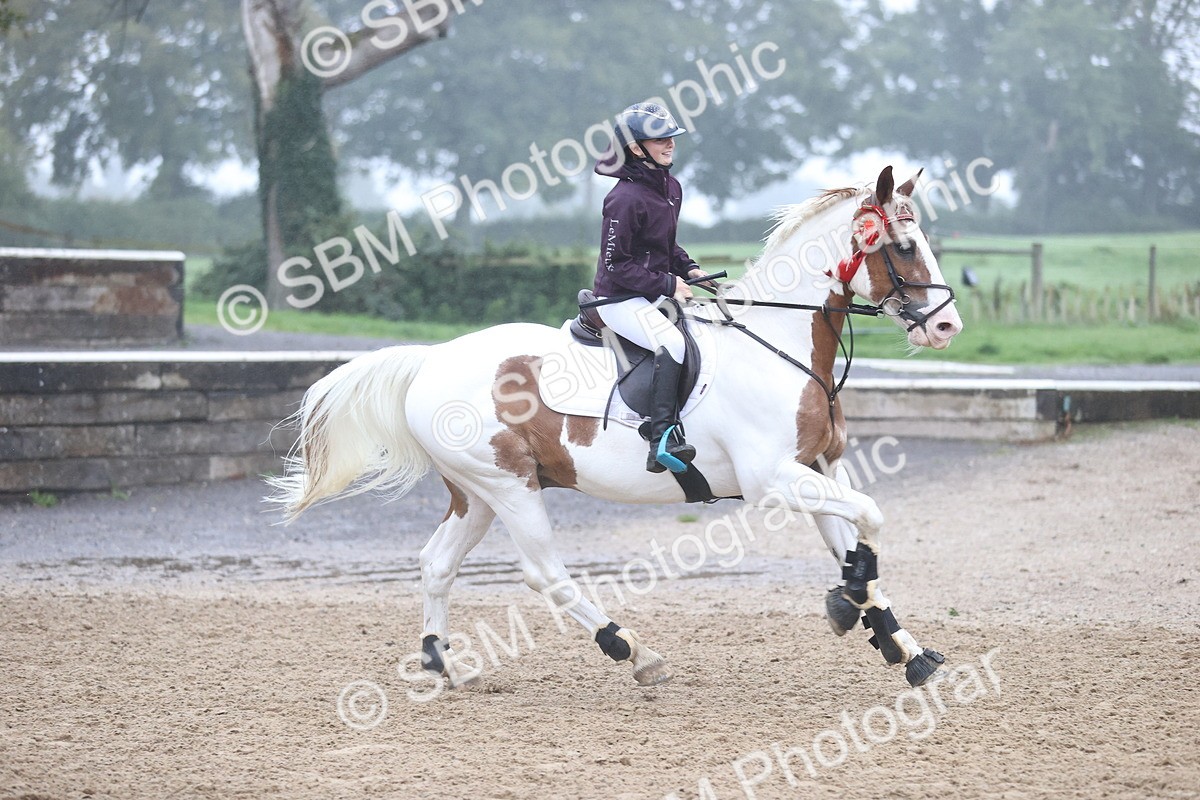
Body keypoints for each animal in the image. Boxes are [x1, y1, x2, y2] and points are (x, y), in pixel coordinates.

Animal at [269, 165, 963, 690]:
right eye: (905, 247)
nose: (946, 326)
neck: (780, 341)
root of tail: (430, 360)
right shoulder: (774, 481)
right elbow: (871, 516)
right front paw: (849, 605)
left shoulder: (816, 468)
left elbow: (855, 541)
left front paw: (902, 647)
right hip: (511, 488)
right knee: (544, 573)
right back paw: (632, 650)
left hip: (477, 494)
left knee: (437, 562)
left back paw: (445, 664)